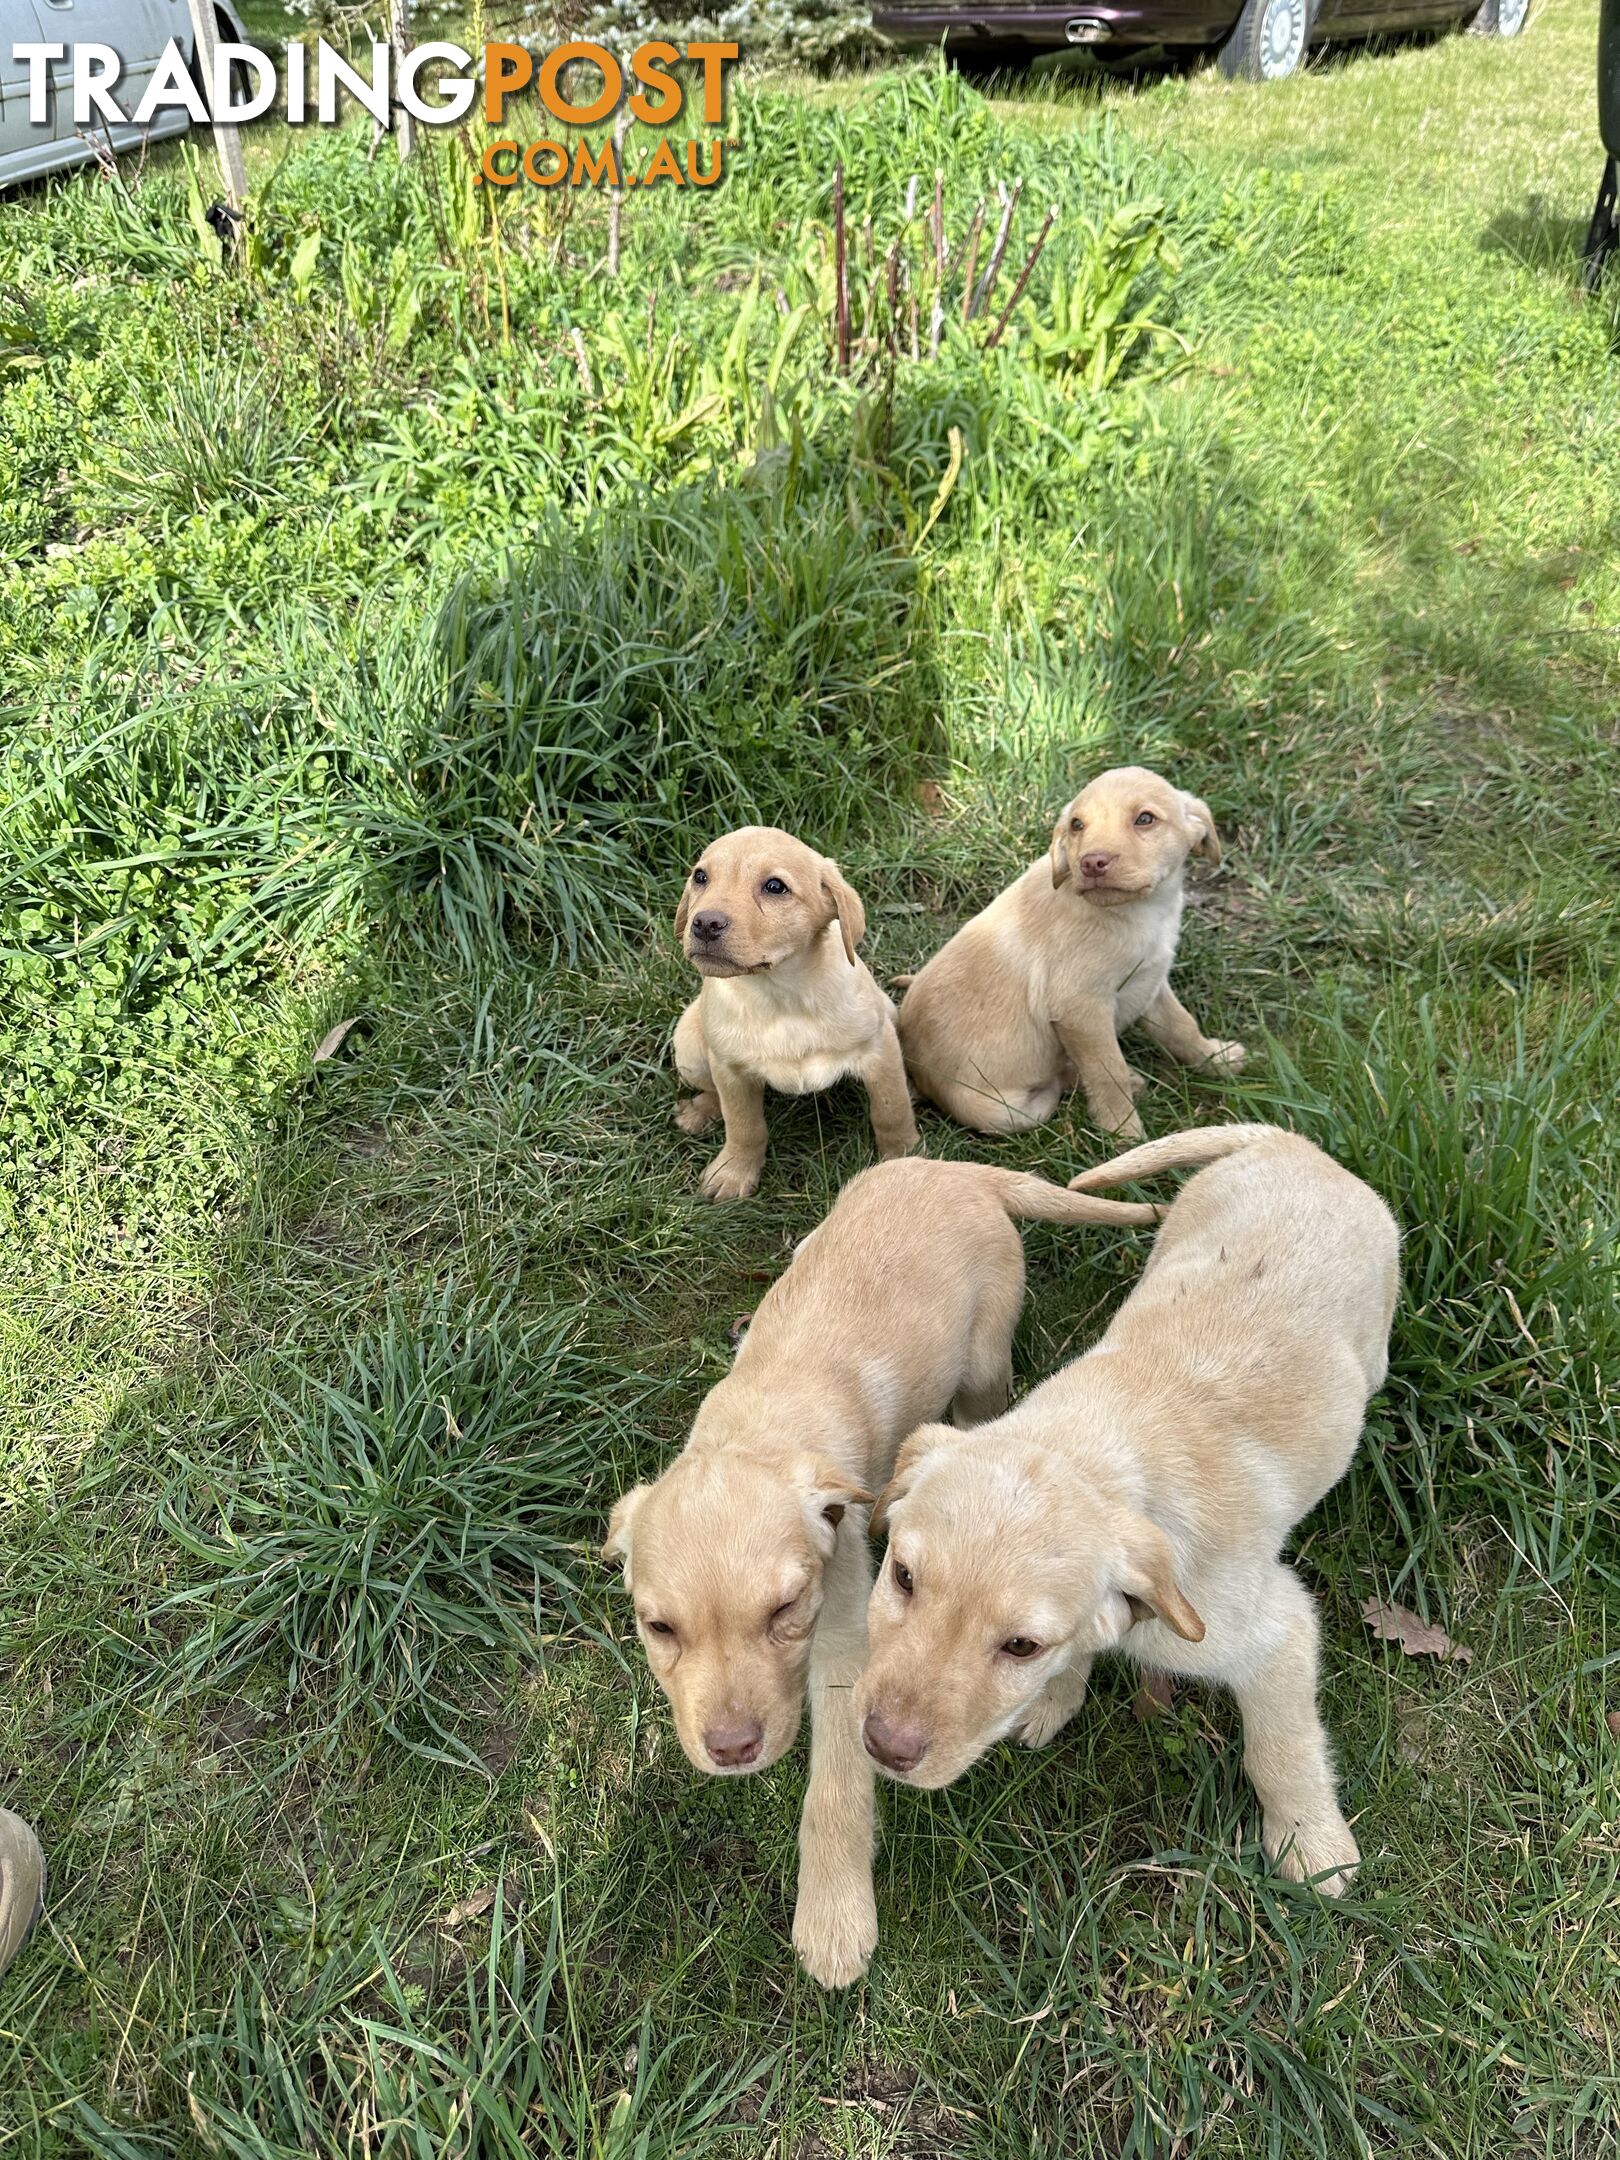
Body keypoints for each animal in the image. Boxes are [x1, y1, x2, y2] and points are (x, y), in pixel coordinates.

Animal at [604, 1157, 1157, 1978]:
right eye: (659, 1628)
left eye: (784, 1610)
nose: (733, 1752)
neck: (758, 1432)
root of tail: (951, 1167)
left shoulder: (844, 1646)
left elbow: (834, 1791)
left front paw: (834, 1919)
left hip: (986, 1351)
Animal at [673, 820, 924, 1200]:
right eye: (700, 877)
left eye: (775, 887)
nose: (704, 923)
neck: (781, 994)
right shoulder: (730, 1070)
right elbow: (744, 1126)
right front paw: (733, 1171)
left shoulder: (879, 1050)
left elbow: (890, 1109)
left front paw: (902, 1156)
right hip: (689, 1049)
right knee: (713, 1091)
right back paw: (700, 1110)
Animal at [855, 1123, 1399, 1900]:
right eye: (902, 1578)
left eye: (1020, 1646)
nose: (882, 1746)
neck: (1089, 1449)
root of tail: (1298, 1146)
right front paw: (1054, 1700)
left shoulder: (1277, 1634)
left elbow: (1281, 1749)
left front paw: (1311, 1845)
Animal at [902, 773, 1244, 1149]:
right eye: (1077, 825)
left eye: (1145, 818)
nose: (1092, 863)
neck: (1138, 912)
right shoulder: (1080, 1010)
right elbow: (1107, 1073)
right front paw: (1124, 1134)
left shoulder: (1150, 981)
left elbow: (1182, 1027)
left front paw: (1216, 1059)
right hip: (1004, 1112)